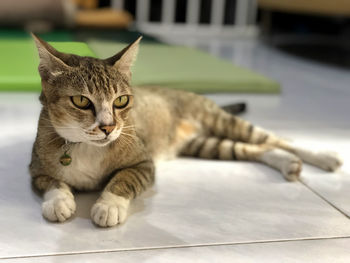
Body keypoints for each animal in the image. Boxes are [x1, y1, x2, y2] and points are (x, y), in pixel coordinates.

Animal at [28, 34, 344, 228]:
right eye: (82, 101)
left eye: (121, 101)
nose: (108, 127)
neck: (86, 147)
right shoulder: (36, 168)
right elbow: (51, 182)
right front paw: (59, 201)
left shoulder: (143, 163)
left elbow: (124, 179)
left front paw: (108, 205)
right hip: (207, 145)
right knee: (254, 149)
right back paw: (288, 163)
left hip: (220, 120)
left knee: (275, 138)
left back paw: (324, 157)